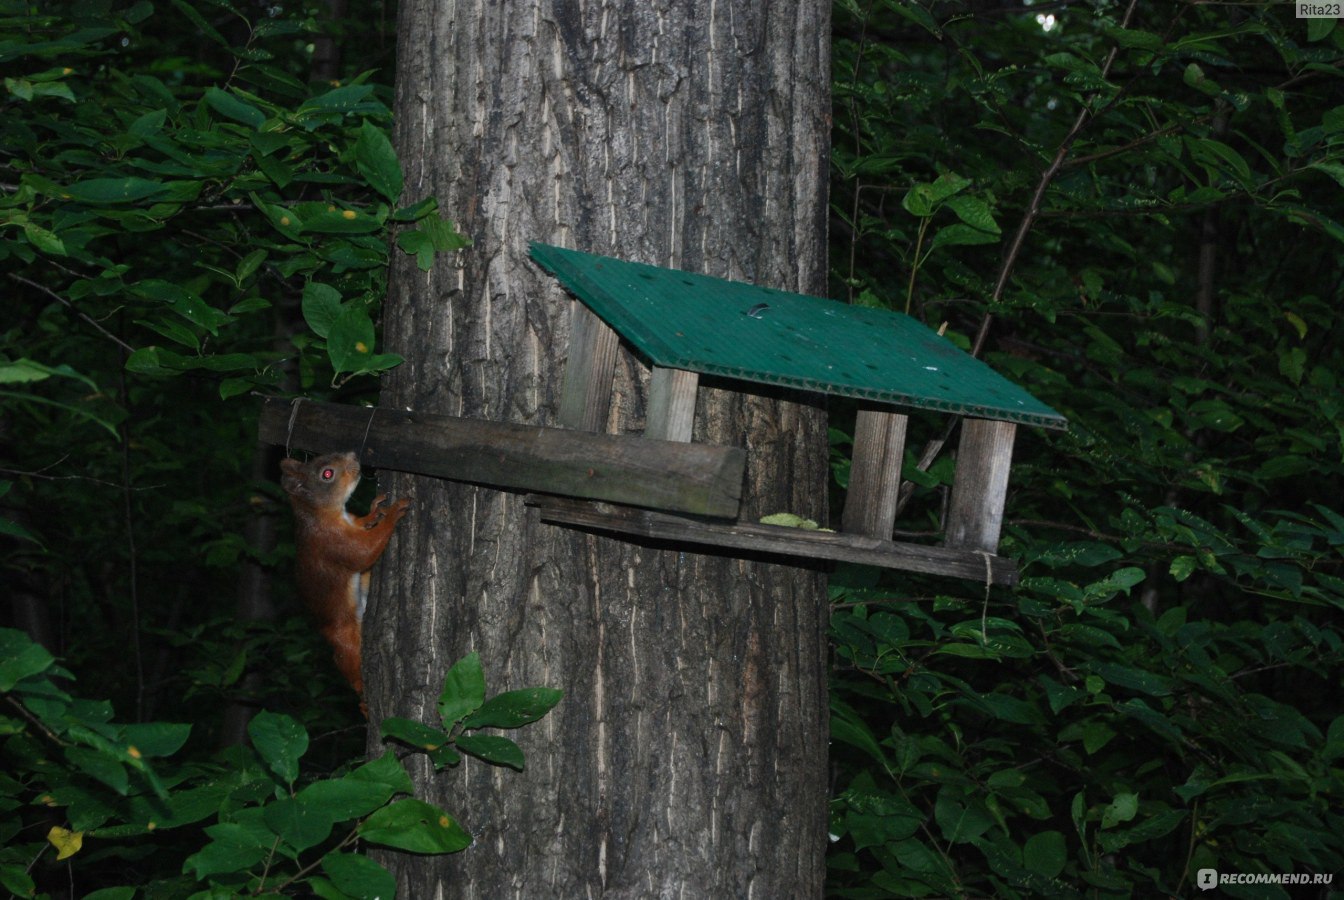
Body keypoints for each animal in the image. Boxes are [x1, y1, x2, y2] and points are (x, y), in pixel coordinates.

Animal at [279, 454, 405, 703]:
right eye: (327, 474)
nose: (353, 456)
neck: (320, 514)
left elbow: (363, 528)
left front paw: (374, 511)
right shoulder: (332, 541)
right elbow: (363, 553)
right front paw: (394, 512)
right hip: (347, 641)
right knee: (351, 666)